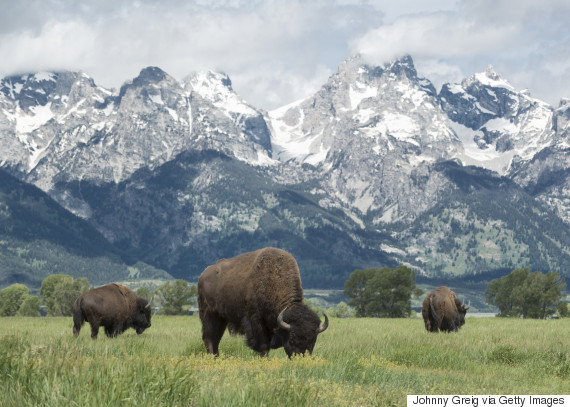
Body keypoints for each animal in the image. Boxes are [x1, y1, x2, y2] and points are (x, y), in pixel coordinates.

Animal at [196, 247, 326, 358]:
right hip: (209, 315)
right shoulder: (256, 322)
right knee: (209, 338)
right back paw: (212, 357)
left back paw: (216, 357)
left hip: (221, 319)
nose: (301, 357)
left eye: (314, 340)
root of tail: (203, 275)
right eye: (292, 338)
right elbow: (263, 345)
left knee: (216, 338)